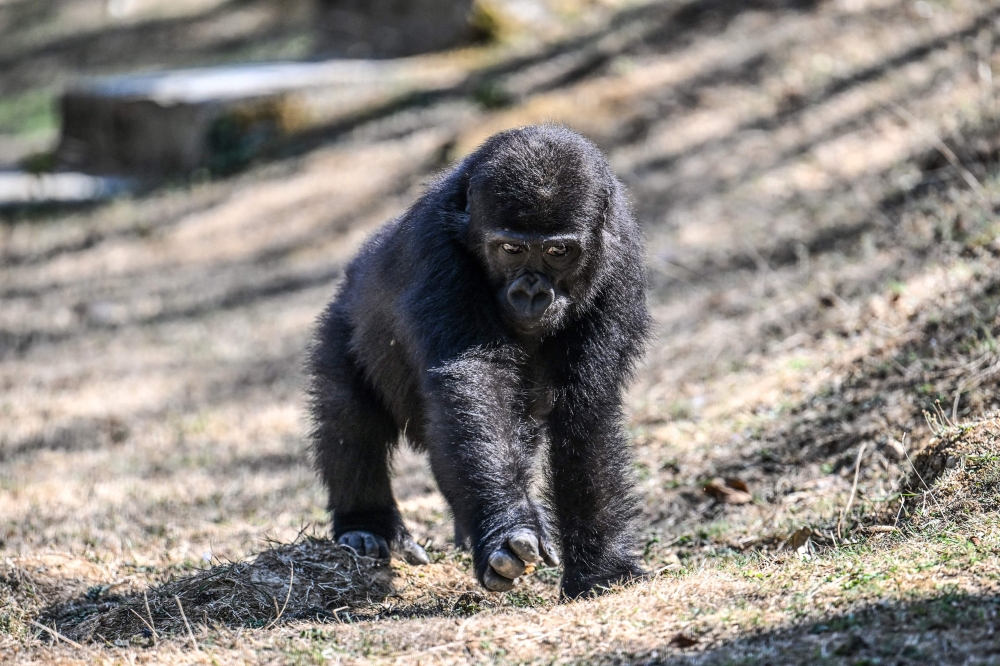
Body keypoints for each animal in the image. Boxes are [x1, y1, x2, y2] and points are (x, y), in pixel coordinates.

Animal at [306, 125, 650, 598]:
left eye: (558, 252)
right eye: (511, 249)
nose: (531, 294)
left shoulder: (621, 263)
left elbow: (586, 413)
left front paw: (600, 568)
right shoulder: (434, 249)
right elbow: (476, 380)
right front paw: (506, 527)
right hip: (339, 321)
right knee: (347, 414)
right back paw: (366, 524)